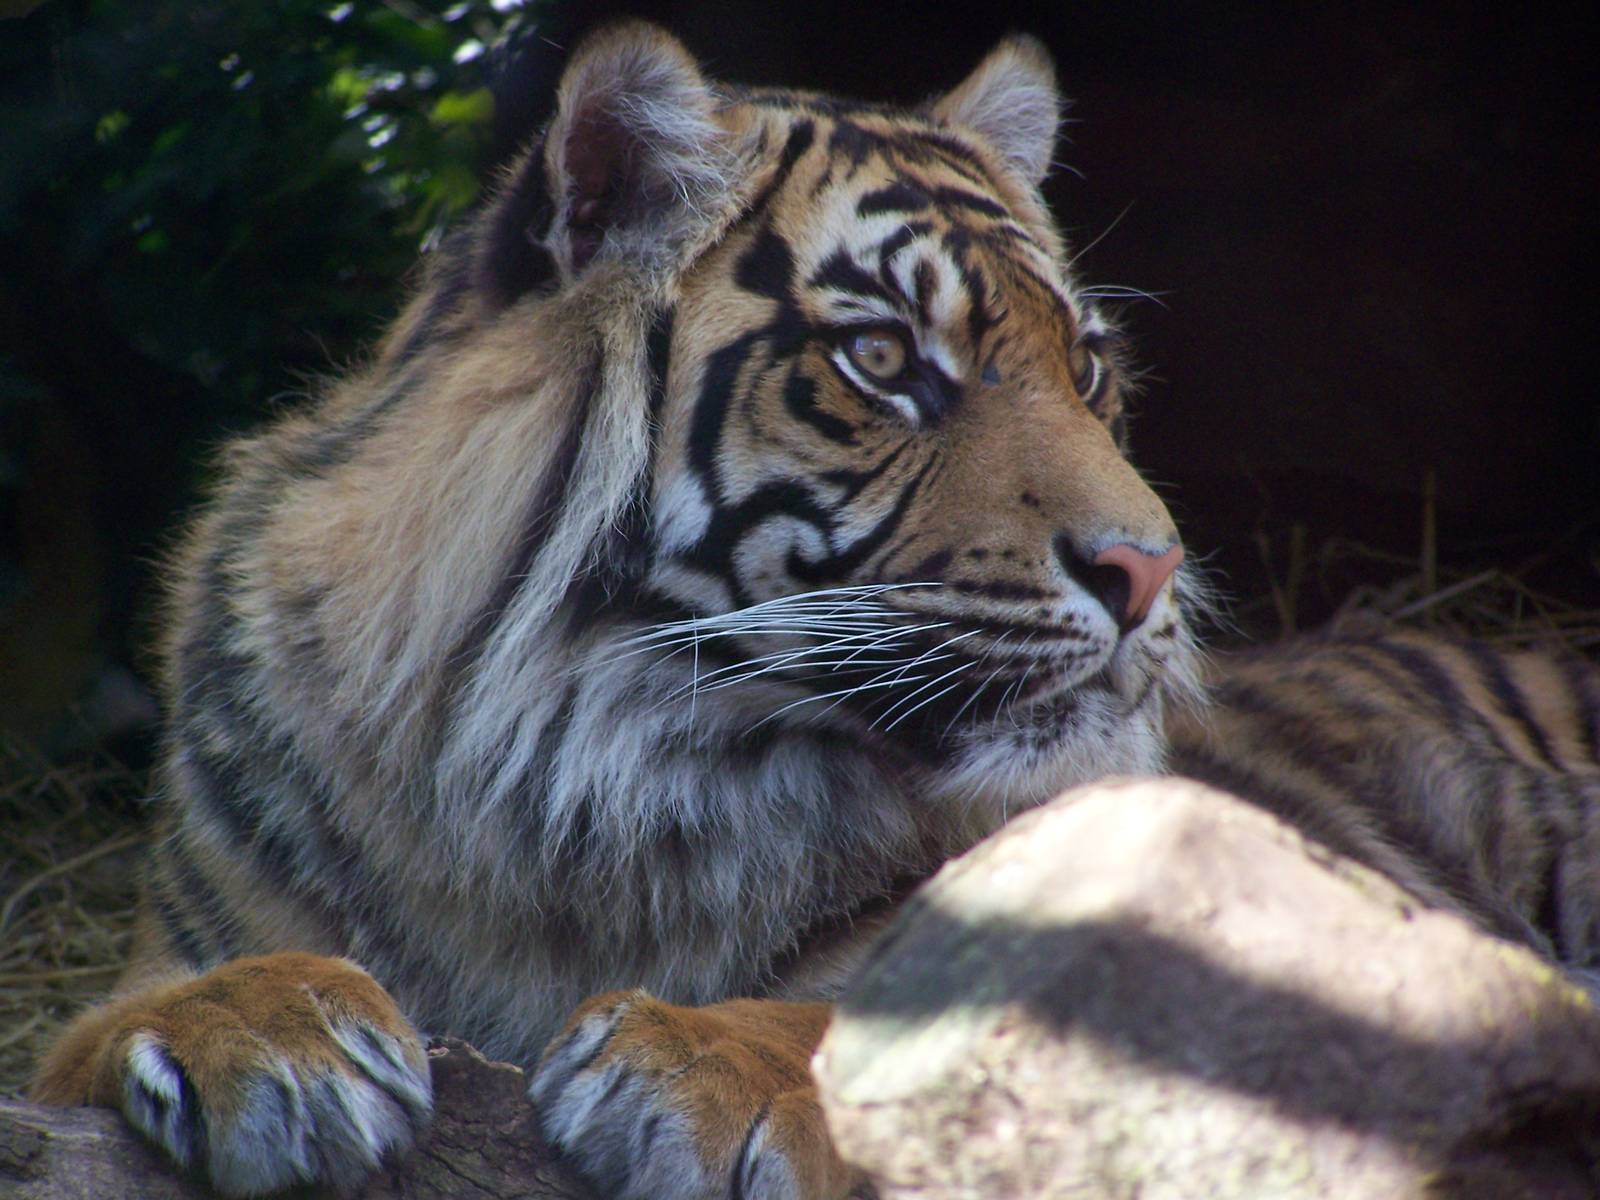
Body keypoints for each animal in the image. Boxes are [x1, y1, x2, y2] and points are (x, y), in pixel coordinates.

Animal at [28, 19, 1600, 1200]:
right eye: (886, 360)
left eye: (1087, 369)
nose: (1153, 572)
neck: (563, 806)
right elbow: (105, 1019)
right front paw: (264, 1030)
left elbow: (896, 995)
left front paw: (693, 1069)